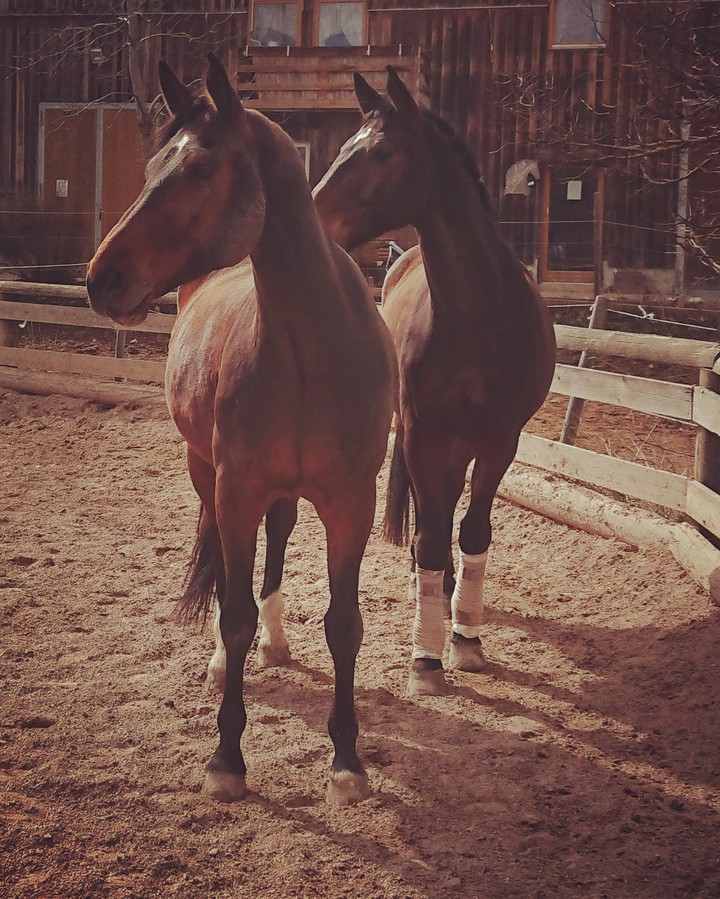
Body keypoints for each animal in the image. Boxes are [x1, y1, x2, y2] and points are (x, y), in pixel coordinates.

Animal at [86, 55, 397, 805]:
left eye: (200, 168)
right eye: (151, 166)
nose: (101, 277)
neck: (315, 350)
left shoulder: (353, 500)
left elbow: (345, 623)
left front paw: (347, 758)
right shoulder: (234, 490)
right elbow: (232, 611)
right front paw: (227, 756)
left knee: (277, 544)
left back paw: (277, 644)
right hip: (208, 475)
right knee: (232, 579)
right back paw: (228, 664)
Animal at [314, 68, 556, 697]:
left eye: (379, 153)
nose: (311, 218)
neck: (481, 319)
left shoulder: (499, 441)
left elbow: (473, 532)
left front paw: (465, 639)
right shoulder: (424, 435)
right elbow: (430, 531)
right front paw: (425, 658)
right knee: (430, 516)